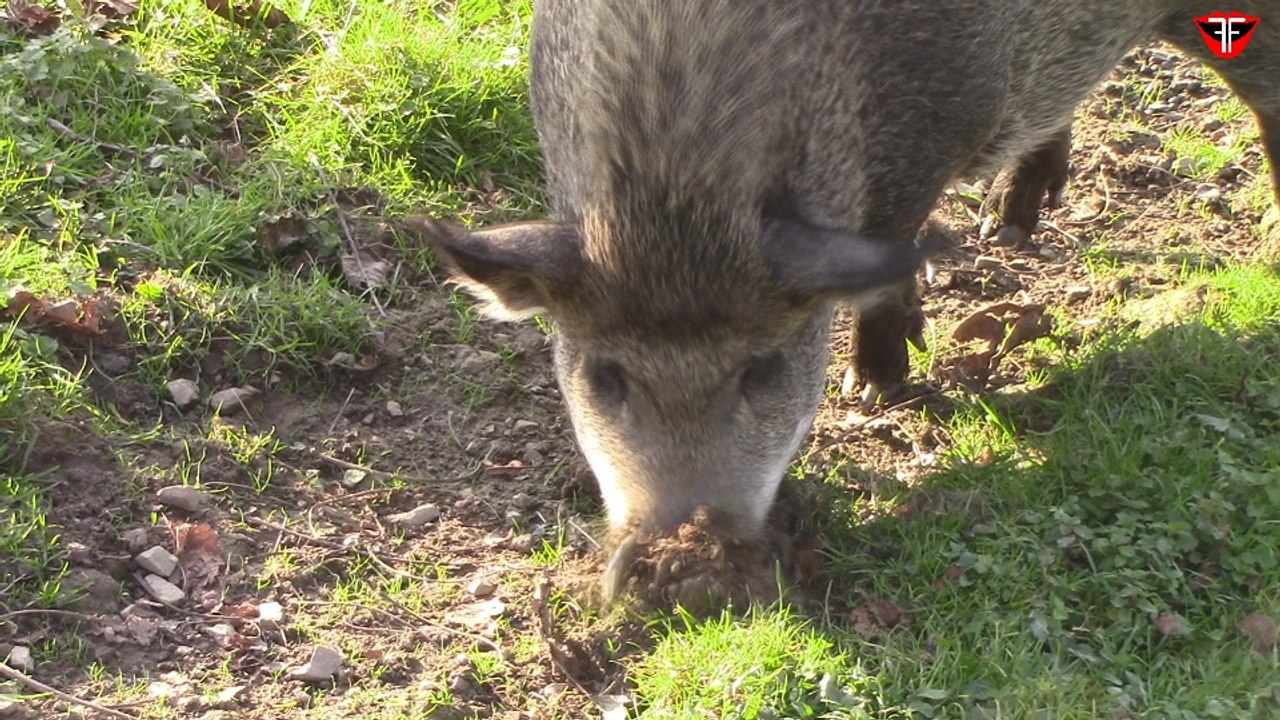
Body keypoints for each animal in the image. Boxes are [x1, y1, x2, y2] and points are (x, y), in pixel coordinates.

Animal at [416, 1, 1280, 595]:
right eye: (604, 376)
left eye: (762, 369)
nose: (681, 572)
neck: (679, 194)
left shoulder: (933, 135)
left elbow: (887, 268)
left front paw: (877, 389)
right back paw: (1010, 227)